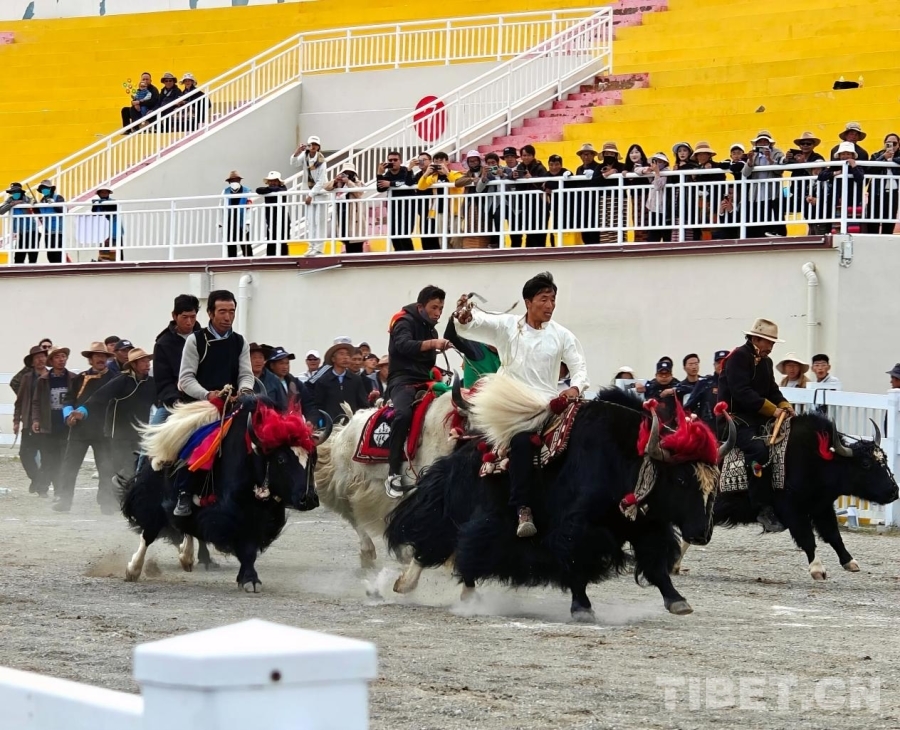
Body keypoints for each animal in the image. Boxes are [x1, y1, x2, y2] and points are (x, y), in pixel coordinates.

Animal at [121, 396, 332, 592]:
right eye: (281, 458)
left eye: (313, 457)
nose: (308, 498)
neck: (253, 460)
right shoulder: (232, 514)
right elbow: (243, 544)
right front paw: (250, 580)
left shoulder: (262, 516)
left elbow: (250, 547)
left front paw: (248, 579)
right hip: (155, 497)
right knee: (150, 530)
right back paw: (133, 570)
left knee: (184, 525)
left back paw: (186, 557)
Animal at [385, 381, 736, 621]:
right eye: (680, 479)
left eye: (714, 481)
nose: (701, 534)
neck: (627, 458)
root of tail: (466, 452)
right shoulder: (580, 525)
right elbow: (576, 559)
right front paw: (582, 608)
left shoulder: (644, 526)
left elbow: (656, 564)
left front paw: (678, 602)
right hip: (473, 513)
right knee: (452, 542)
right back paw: (447, 593)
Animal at [676, 413, 898, 580]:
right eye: (866, 464)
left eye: (885, 459)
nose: (894, 491)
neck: (816, 460)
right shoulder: (792, 510)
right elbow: (807, 537)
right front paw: (818, 569)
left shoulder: (822, 507)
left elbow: (833, 535)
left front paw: (850, 562)